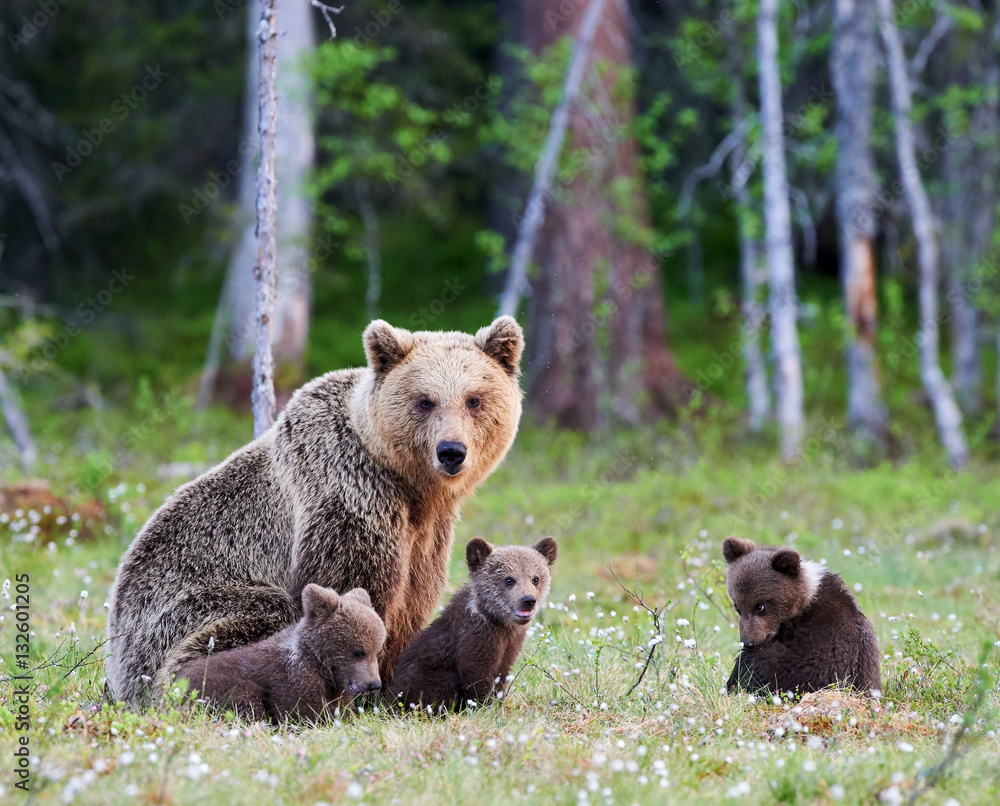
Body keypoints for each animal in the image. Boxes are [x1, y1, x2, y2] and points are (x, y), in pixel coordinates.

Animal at [105, 316, 524, 708]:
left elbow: (411, 602)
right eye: (425, 400)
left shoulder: (426, 534)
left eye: (474, 399)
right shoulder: (348, 494)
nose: (451, 451)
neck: (409, 486)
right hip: (181, 611)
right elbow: (350, 591)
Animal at [390, 536, 557, 713]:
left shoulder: (510, 644)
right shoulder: (476, 638)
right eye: (509, 579)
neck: (499, 621)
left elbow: (501, 675)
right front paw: (484, 707)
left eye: (535, 578)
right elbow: (477, 677)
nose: (528, 600)